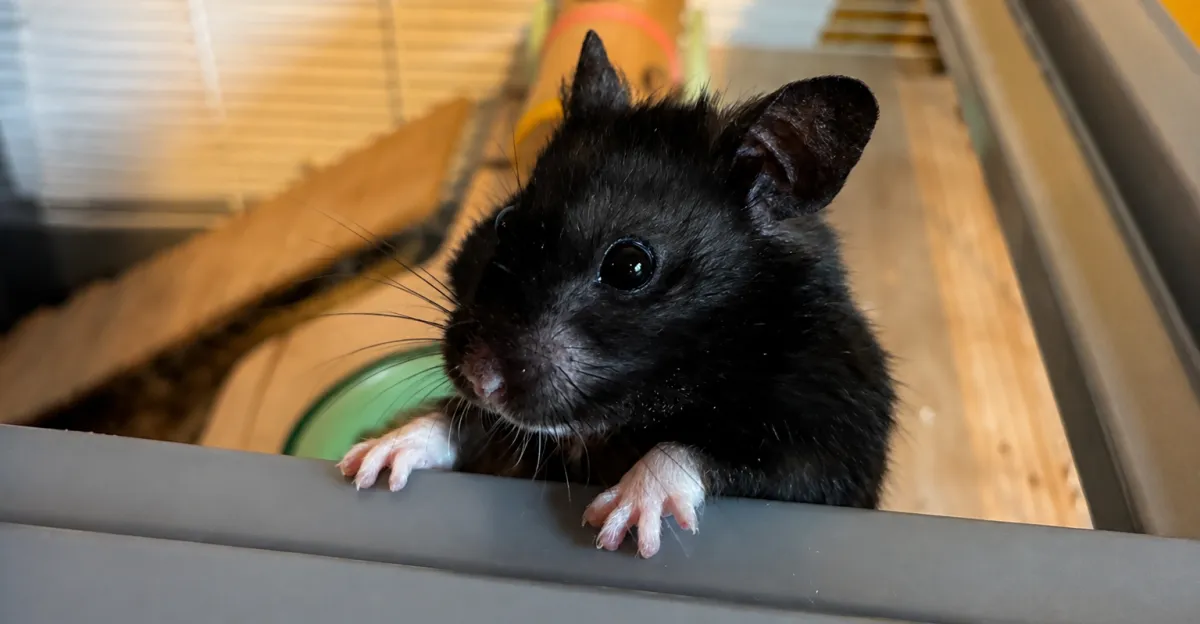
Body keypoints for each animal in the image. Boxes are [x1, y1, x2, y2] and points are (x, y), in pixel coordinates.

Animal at [338, 31, 896, 558]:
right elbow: (461, 422)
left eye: (630, 267)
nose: (482, 381)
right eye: (505, 224)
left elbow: (695, 451)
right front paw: (370, 463)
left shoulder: (827, 450)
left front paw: (616, 527)